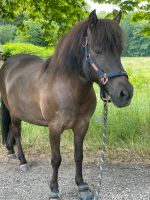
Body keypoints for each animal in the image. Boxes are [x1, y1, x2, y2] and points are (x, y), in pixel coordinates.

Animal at [0, 10, 134, 198]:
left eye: (120, 50)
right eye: (98, 50)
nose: (125, 94)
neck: (68, 88)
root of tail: (8, 63)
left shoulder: (82, 126)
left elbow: (79, 155)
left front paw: (82, 186)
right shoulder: (54, 128)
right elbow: (56, 159)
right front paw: (54, 189)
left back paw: (13, 154)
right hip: (14, 113)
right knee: (18, 133)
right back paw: (23, 161)